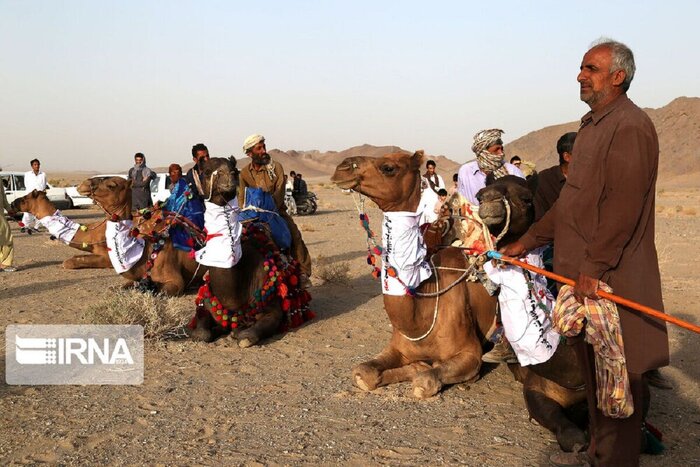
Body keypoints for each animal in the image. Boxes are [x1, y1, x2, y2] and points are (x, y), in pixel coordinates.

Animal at [186, 157, 312, 348]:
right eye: (206, 171)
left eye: (234, 169)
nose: (228, 176)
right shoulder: (206, 303)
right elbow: (201, 334)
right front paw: (220, 329)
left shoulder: (273, 308)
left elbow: (247, 337)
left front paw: (238, 332)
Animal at [334, 154, 592, 454]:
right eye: (480, 195)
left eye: (389, 167)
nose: (342, 167)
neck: (421, 312)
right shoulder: (399, 348)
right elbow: (363, 372)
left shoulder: (471, 355)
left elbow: (426, 379)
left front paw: (422, 372)